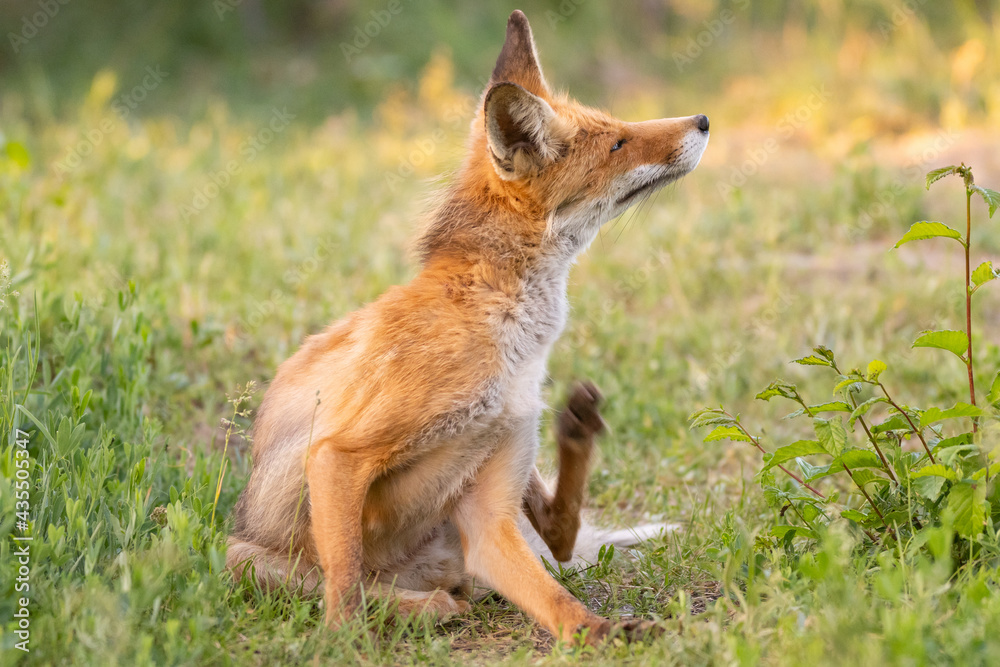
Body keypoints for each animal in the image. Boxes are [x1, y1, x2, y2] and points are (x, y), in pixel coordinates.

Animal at [229, 10, 712, 648]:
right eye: (617, 142)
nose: (704, 119)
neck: (509, 339)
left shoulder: (487, 512)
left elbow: (562, 606)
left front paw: (606, 632)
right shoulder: (337, 454)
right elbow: (344, 593)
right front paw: (345, 642)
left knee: (558, 536)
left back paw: (576, 430)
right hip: (243, 556)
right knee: (388, 587)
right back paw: (420, 606)